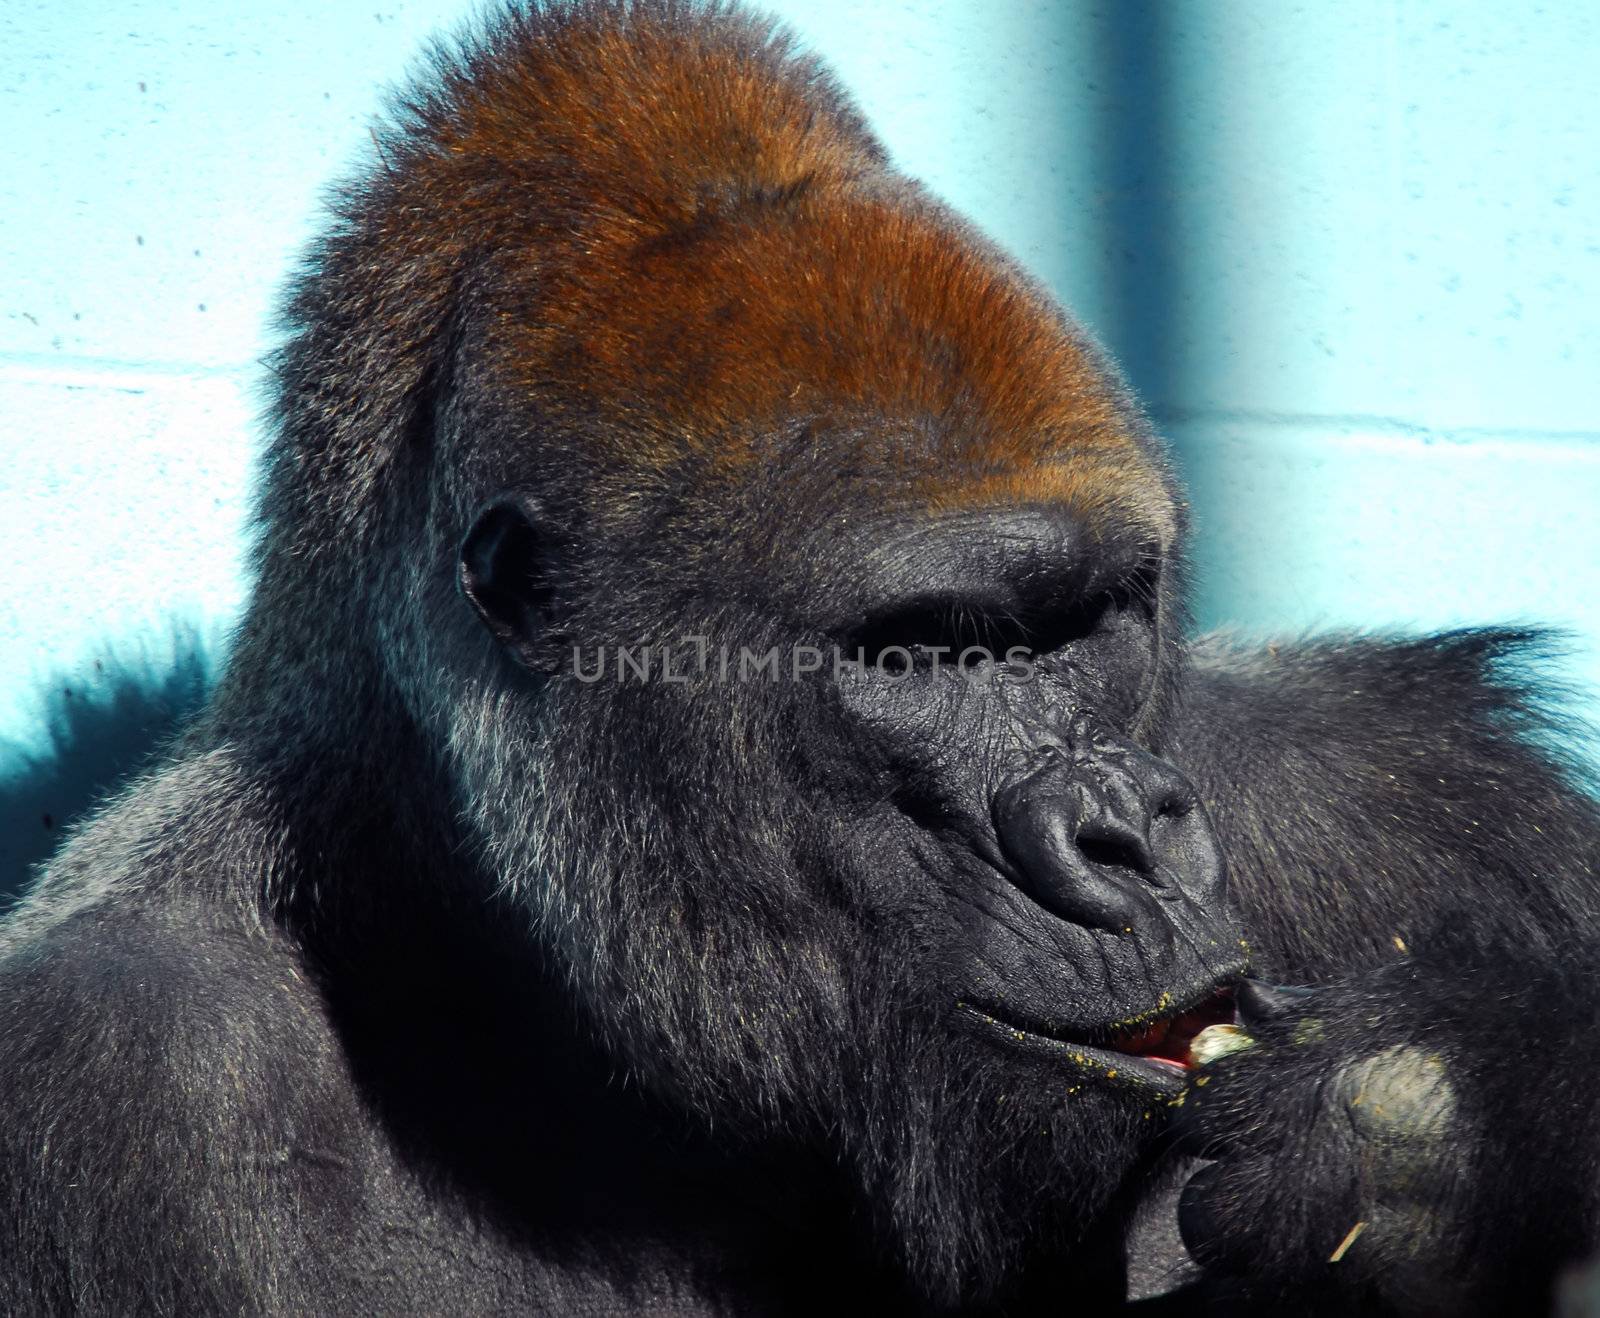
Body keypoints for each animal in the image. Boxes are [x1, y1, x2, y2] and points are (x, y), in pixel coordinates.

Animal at [3, 2, 1600, 1318]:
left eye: (1085, 620)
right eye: (927, 654)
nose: (1128, 838)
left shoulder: (1394, 779)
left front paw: (1447, 1123)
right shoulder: (110, 1070)